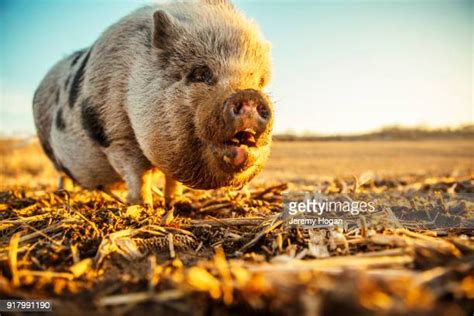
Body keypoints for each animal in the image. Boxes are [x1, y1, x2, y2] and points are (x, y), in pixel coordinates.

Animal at [31, 0, 272, 206]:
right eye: (200, 74)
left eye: (259, 82)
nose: (249, 94)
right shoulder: (116, 134)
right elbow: (139, 173)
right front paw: (143, 206)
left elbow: (171, 180)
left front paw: (179, 202)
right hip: (49, 147)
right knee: (62, 172)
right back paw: (63, 195)